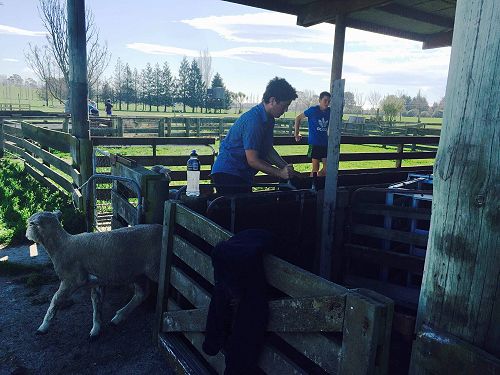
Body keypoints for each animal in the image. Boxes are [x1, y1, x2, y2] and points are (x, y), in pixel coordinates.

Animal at [25, 212, 162, 340]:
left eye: (30, 224)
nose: (26, 235)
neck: (62, 246)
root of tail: (160, 228)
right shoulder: (97, 281)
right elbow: (96, 304)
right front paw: (96, 329)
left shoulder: (72, 279)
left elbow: (55, 300)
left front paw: (43, 327)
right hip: (138, 274)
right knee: (141, 294)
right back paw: (118, 317)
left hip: (154, 268)